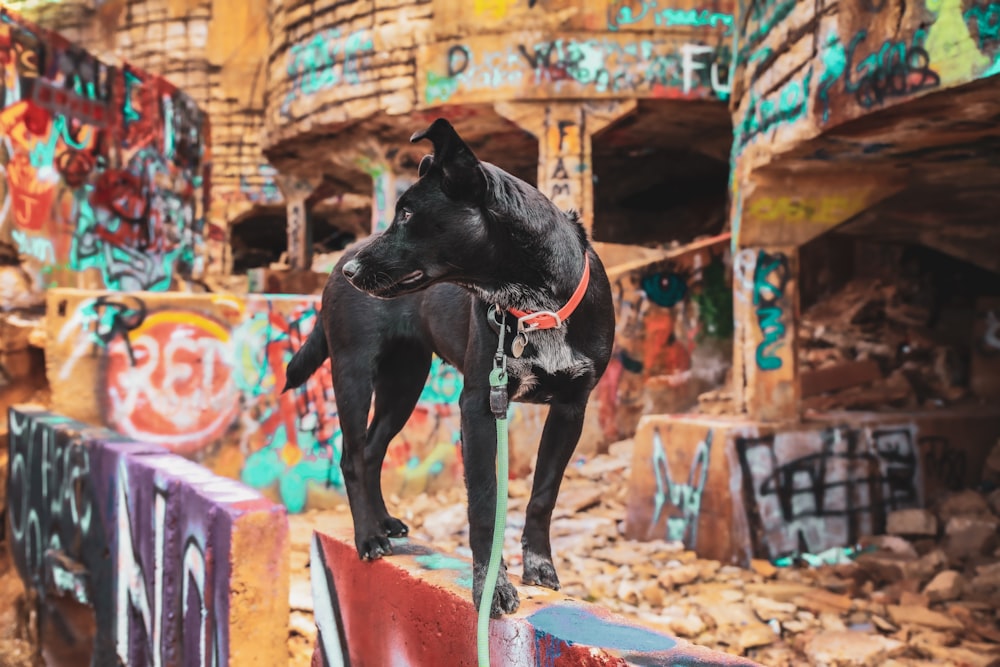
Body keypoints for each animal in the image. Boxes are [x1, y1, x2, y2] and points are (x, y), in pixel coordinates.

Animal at [284, 118, 616, 616]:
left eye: (406, 214)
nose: (351, 271)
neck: (538, 304)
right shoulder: (478, 404)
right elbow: (483, 503)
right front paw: (490, 588)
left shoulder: (571, 407)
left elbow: (544, 495)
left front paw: (539, 567)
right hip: (353, 371)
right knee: (351, 455)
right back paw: (367, 536)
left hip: (405, 382)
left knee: (372, 450)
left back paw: (383, 522)